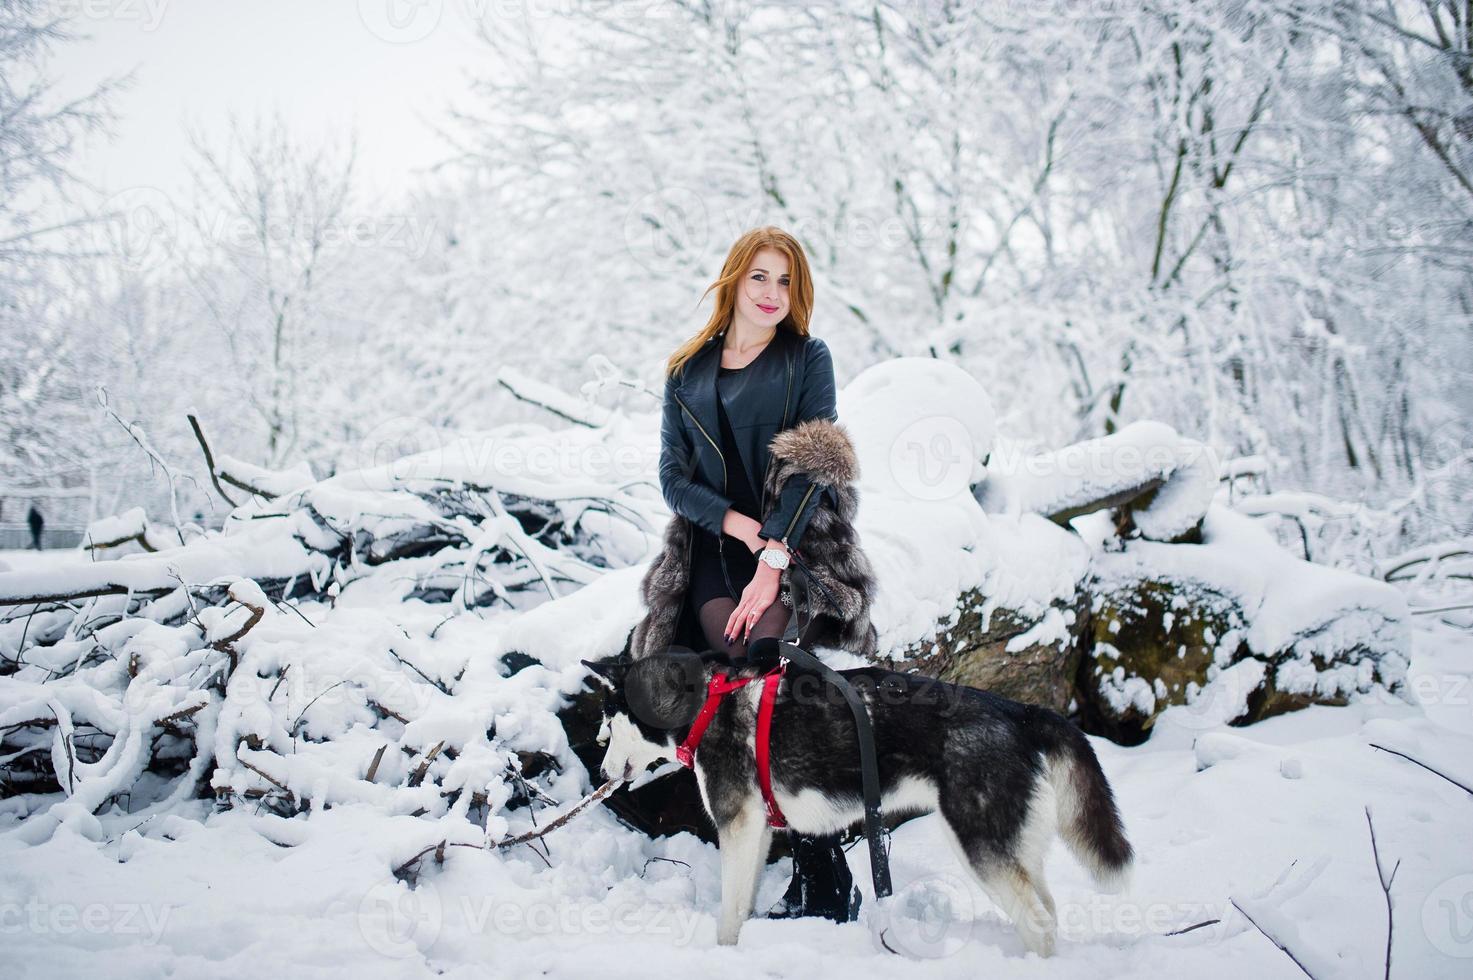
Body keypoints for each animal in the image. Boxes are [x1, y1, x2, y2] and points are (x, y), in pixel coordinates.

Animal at [580, 642, 1131, 954]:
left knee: (1039, 922)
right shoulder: (757, 831)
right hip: (1014, 847)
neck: (706, 701)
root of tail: (1019, 710)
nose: (600, 774)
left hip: (981, 848)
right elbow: (743, 902)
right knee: (1049, 914)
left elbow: (729, 915)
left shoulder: (737, 826)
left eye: (607, 720)